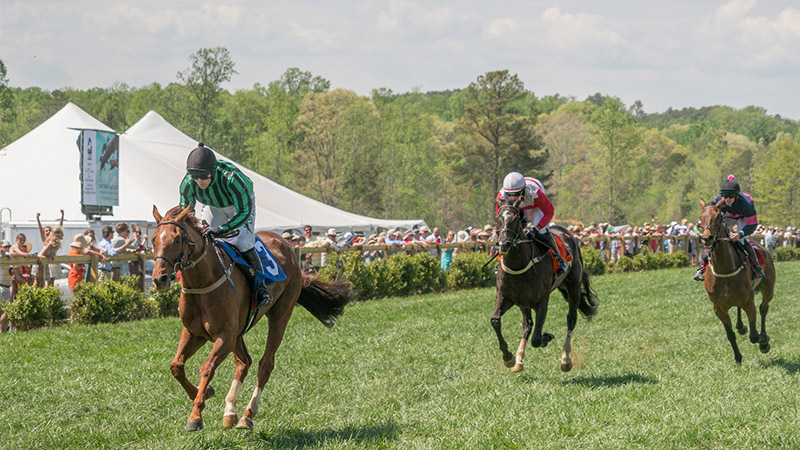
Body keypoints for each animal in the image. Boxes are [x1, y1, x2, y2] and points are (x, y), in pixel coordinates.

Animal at [152, 206, 352, 430]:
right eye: (153, 239)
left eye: (177, 239)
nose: (159, 279)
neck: (203, 281)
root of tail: (286, 245)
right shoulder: (195, 333)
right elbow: (176, 366)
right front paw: (204, 393)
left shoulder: (225, 336)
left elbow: (207, 368)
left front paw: (195, 415)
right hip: (239, 331)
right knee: (244, 362)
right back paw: (230, 411)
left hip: (281, 315)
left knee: (265, 364)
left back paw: (247, 415)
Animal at [490, 200, 596, 372]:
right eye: (497, 219)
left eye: (515, 219)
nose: (504, 244)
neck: (519, 264)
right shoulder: (506, 297)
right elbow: (495, 321)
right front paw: (508, 358)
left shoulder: (542, 301)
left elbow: (536, 339)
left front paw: (546, 337)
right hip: (524, 302)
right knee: (527, 325)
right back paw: (519, 360)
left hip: (573, 287)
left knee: (571, 319)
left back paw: (566, 359)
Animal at [700, 199, 776, 364]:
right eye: (701, 217)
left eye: (719, 216)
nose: (707, 238)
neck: (724, 268)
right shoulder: (719, 308)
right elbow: (730, 335)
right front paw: (738, 358)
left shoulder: (749, 302)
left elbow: (753, 336)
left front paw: (763, 342)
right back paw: (741, 327)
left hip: (768, 288)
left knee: (763, 308)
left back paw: (763, 338)